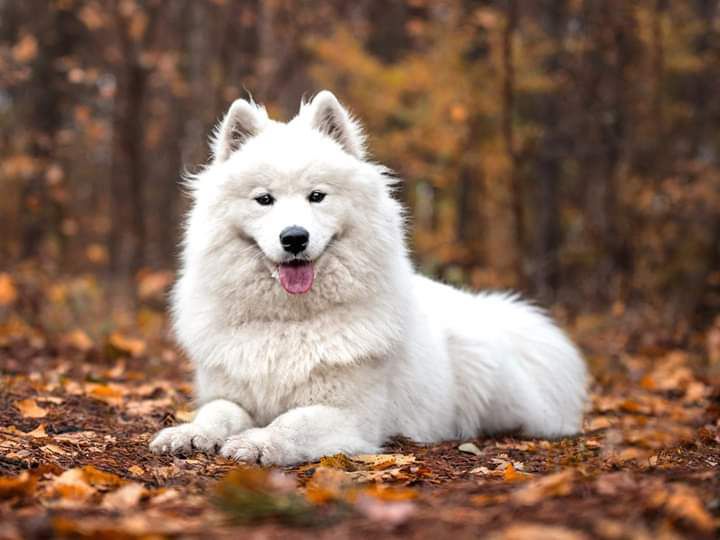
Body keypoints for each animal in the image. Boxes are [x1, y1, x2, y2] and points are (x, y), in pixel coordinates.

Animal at [149, 90, 588, 466]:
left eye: (316, 196)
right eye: (264, 199)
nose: (294, 238)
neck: (290, 321)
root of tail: (491, 313)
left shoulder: (350, 414)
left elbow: (293, 421)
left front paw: (259, 442)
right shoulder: (230, 392)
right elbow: (217, 412)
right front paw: (188, 433)